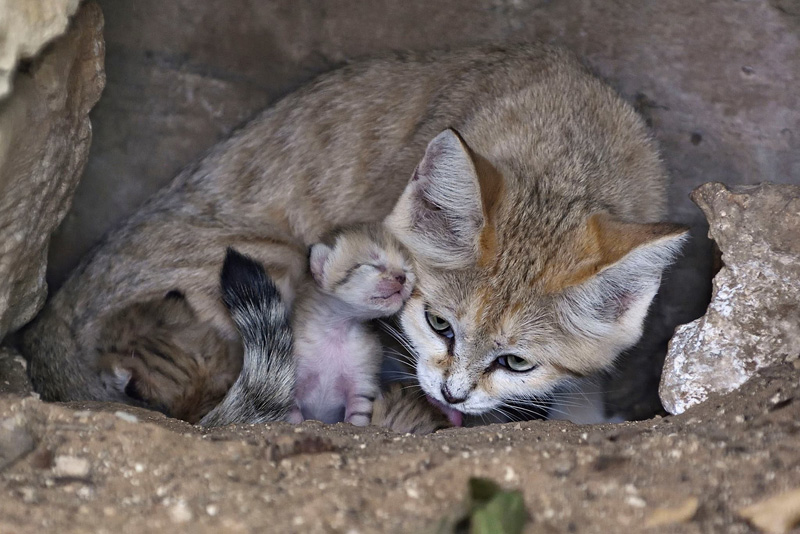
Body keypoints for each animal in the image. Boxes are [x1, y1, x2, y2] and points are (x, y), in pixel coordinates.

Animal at [290, 224, 412, 430]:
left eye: (407, 269)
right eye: (375, 265)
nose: (401, 277)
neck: (336, 332)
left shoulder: (361, 386)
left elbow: (357, 420)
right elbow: (292, 415)